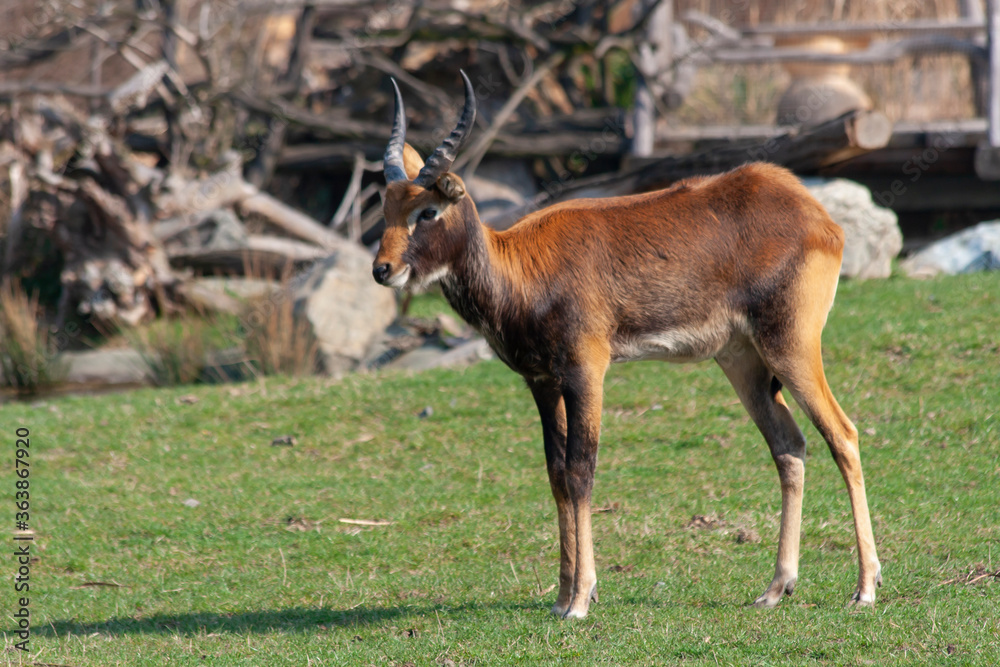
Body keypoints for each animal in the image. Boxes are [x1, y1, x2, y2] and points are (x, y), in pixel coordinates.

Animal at [372, 72, 881, 619]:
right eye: (386, 206)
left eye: (427, 211)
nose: (383, 269)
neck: (522, 270)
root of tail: (817, 215)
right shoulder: (541, 383)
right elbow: (555, 474)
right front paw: (562, 596)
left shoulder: (586, 372)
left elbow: (581, 471)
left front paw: (580, 600)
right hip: (743, 360)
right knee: (789, 446)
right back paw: (776, 587)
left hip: (791, 347)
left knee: (843, 435)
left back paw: (865, 587)